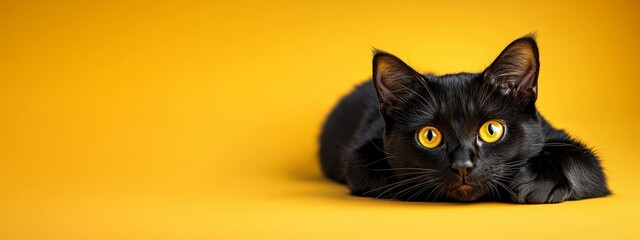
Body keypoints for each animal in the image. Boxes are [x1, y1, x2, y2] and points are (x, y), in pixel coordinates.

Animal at [320, 35, 608, 203]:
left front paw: (539, 181)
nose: (462, 166)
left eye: (491, 130)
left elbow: (578, 158)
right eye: (429, 136)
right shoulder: (359, 156)